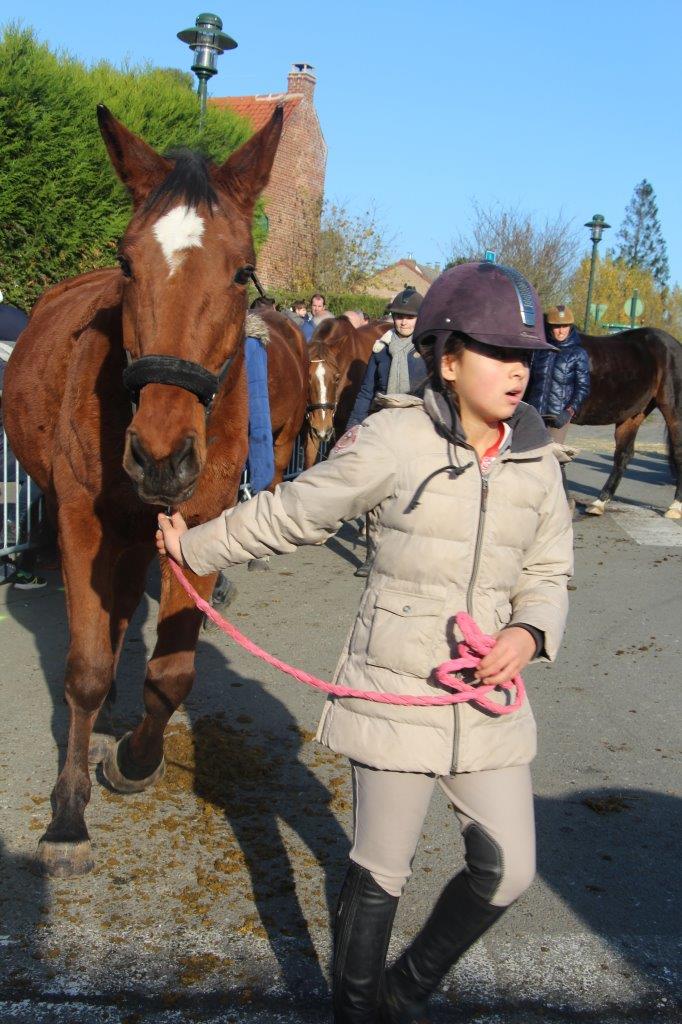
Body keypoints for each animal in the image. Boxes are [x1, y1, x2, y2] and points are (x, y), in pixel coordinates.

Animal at [3, 103, 307, 876]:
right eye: (126, 261)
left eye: (242, 271)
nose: (161, 455)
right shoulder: (83, 521)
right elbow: (82, 668)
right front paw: (68, 816)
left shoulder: (197, 523)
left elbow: (170, 676)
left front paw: (133, 761)